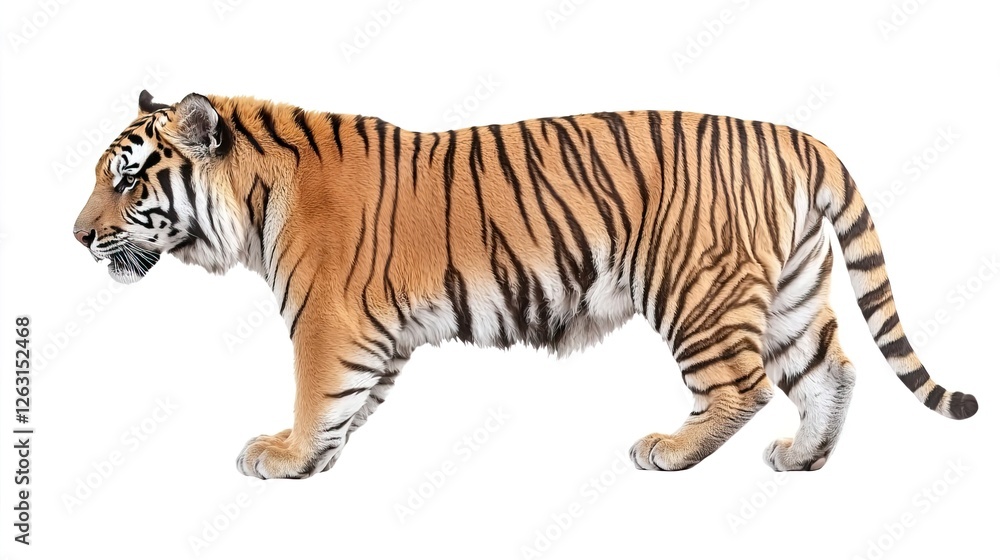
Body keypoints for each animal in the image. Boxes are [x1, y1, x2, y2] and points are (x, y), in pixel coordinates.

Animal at [73, 90, 978, 479]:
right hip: (789, 291)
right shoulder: (379, 334)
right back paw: (804, 456)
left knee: (742, 386)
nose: (77, 237)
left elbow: (316, 392)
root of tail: (793, 136)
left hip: (699, 292)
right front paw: (316, 455)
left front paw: (285, 455)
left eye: (127, 179)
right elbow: (352, 403)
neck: (252, 199)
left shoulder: (328, 319)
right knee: (834, 371)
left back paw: (669, 450)